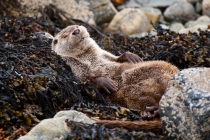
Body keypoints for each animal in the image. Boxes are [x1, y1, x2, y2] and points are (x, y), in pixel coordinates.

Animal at [51, 25, 180, 119]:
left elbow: (117, 58)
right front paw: (105, 83)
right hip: (133, 92)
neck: (91, 59)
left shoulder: (105, 55)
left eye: (76, 26)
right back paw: (150, 112)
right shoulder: (78, 71)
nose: (76, 31)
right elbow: (87, 82)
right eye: (65, 35)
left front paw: (131, 56)